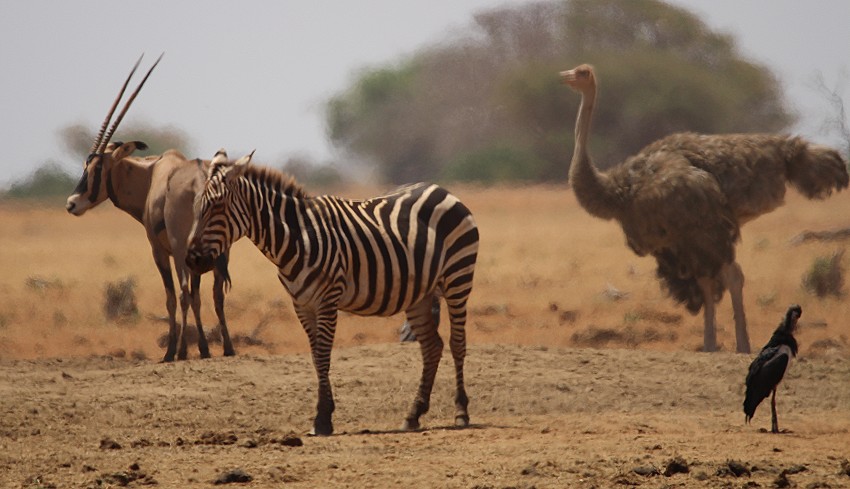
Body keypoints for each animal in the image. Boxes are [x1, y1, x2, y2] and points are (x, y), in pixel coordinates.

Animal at [186, 150, 476, 434]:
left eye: (217, 206)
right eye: (197, 207)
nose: (192, 261)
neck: (297, 239)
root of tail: (441, 189)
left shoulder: (327, 299)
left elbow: (324, 355)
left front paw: (323, 418)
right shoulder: (302, 304)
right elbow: (316, 357)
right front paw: (323, 413)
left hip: (458, 278)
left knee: (457, 343)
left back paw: (461, 412)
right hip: (420, 294)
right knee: (432, 346)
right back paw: (414, 414)